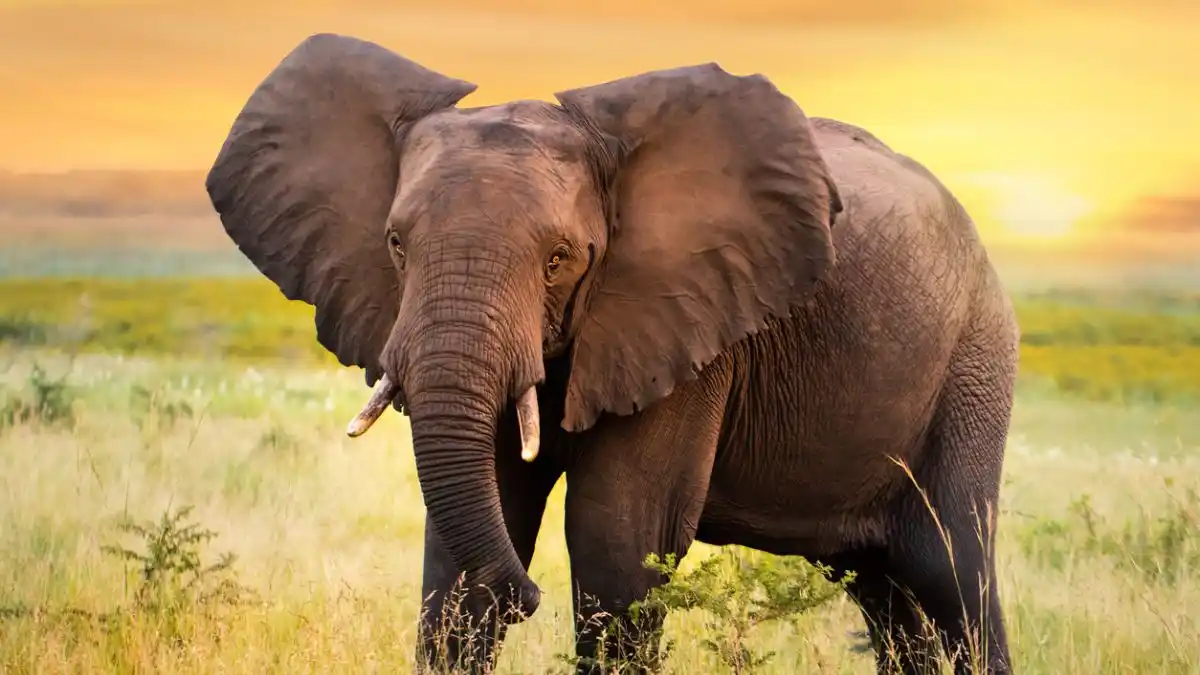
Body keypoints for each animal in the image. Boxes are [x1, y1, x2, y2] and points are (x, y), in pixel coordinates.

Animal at [205, 33, 1018, 675]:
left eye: (560, 258)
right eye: (396, 244)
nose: (526, 599)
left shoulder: (690, 325)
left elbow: (616, 540)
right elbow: (468, 541)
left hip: (975, 363)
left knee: (953, 571)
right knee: (884, 588)